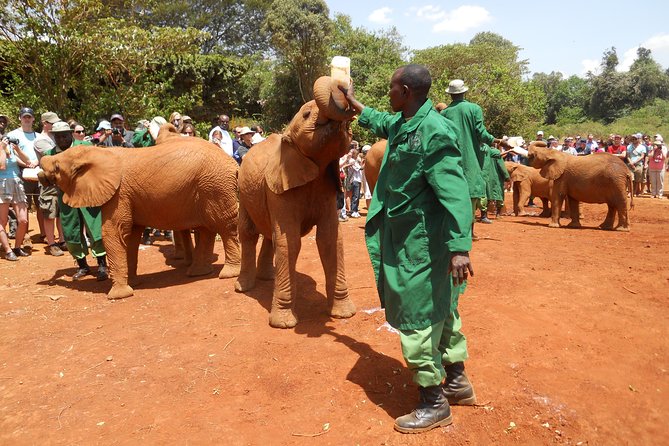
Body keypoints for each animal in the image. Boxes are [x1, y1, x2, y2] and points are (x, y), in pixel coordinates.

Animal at [39, 127, 241, 299]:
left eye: (56, 168)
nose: (40, 173)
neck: (101, 153)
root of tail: (233, 162)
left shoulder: (119, 193)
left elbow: (114, 233)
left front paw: (119, 295)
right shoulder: (127, 196)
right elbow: (130, 237)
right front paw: (133, 284)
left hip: (216, 185)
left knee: (225, 225)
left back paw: (228, 273)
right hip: (206, 187)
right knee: (207, 228)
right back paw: (197, 273)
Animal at [235, 75, 357, 328]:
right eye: (307, 114)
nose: (344, 88)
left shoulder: (327, 188)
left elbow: (330, 238)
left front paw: (343, 314)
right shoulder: (280, 188)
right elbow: (289, 241)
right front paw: (283, 325)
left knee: (269, 234)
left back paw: (267, 277)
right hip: (243, 190)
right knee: (248, 233)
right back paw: (244, 287)